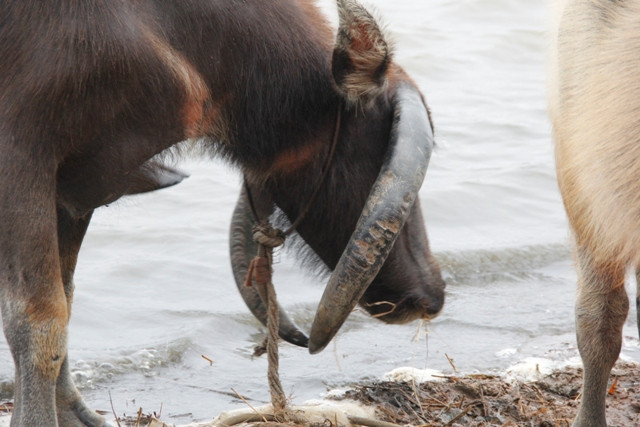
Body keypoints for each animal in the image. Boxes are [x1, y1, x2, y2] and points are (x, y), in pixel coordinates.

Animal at [0, 0, 445, 425]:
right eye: (377, 139)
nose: (429, 296)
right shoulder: (23, 164)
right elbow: (40, 317)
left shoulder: (72, 193)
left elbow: (66, 300)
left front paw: (74, 413)